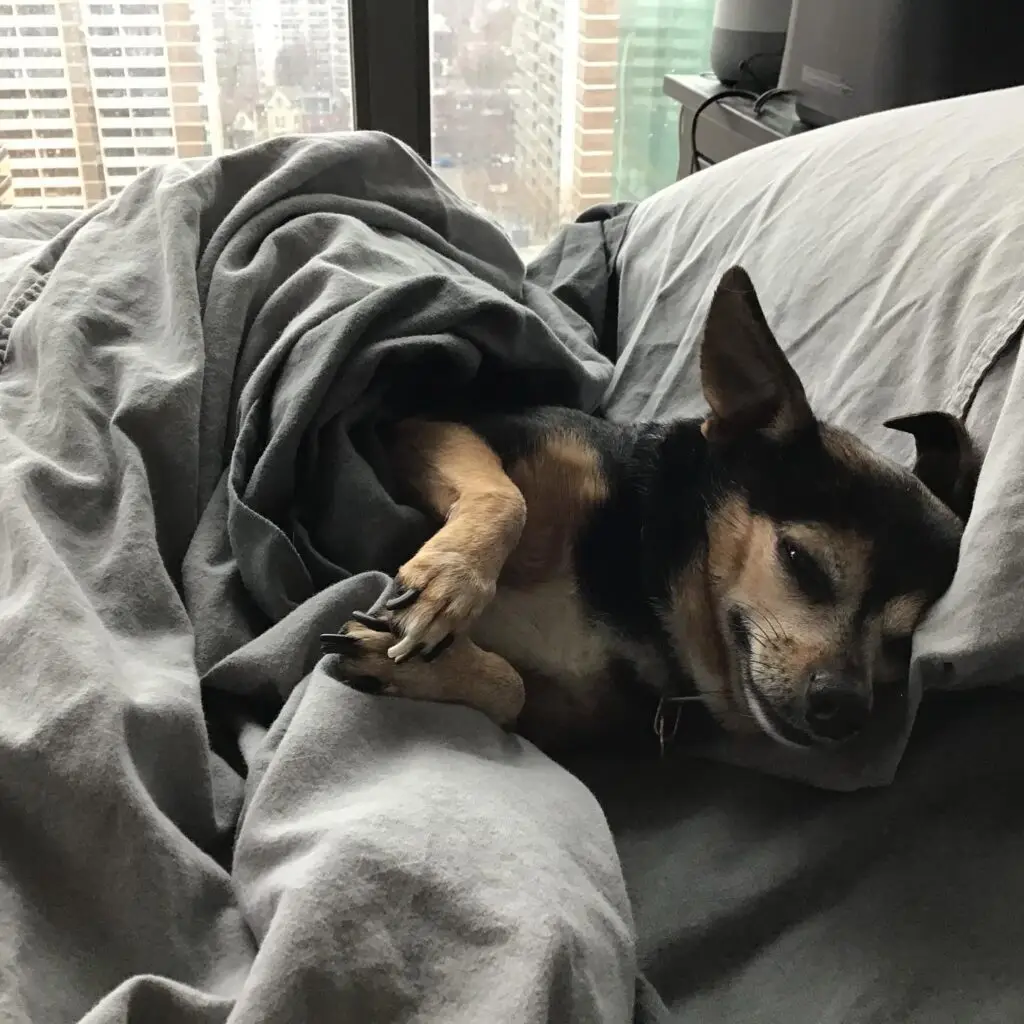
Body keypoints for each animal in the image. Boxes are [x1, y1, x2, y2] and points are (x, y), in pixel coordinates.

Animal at [322, 267, 979, 755]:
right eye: (800, 561)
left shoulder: (565, 721)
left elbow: (512, 689)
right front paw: (447, 584)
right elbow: (507, 499)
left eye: (901, 645)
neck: (637, 580)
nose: (844, 708)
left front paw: (419, 667)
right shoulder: (425, 426)